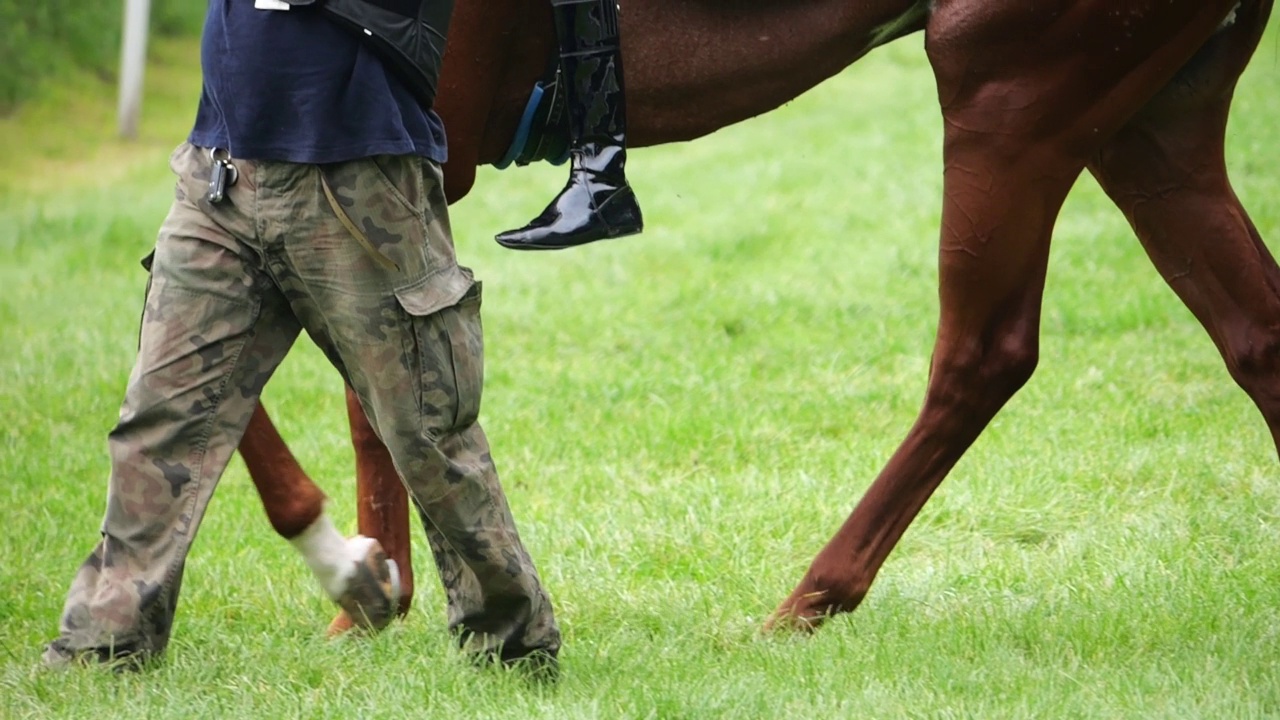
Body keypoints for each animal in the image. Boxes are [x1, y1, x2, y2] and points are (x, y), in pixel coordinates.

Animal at [238, 0, 1280, 627]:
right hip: (1145, 116)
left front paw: (357, 580)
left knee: (986, 353)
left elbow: (356, 375)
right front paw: (367, 580)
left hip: (1009, 86)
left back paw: (812, 599)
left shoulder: (400, 142)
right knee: (1255, 335)